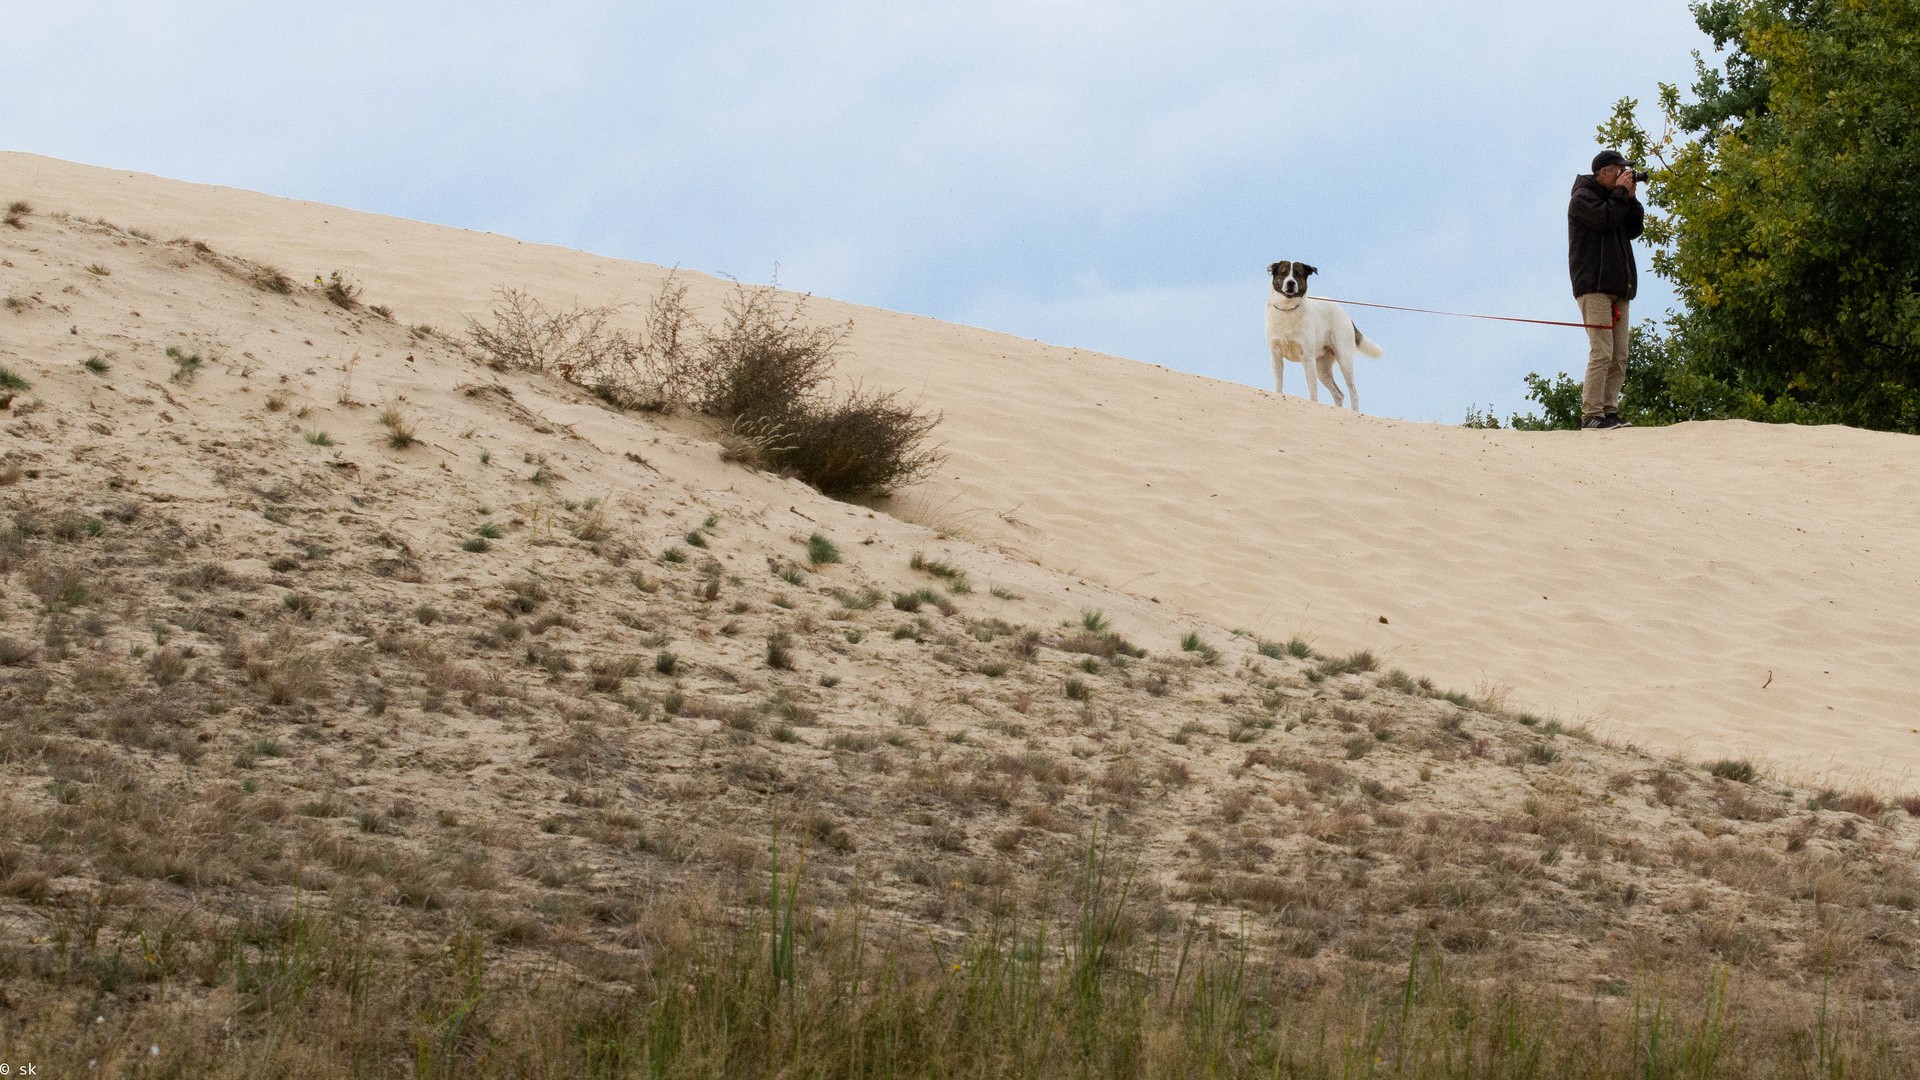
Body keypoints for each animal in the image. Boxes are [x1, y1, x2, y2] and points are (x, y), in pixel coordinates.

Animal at [1259, 259, 1382, 409]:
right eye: (1283, 273)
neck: (1288, 309)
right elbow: (1278, 385)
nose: (1291, 283)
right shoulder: (1276, 356)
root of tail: (1345, 314)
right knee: (1338, 394)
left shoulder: (1307, 358)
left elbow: (1313, 392)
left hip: (1344, 359)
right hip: (1322, 369)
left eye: (1297, 274)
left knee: (1353, 393)